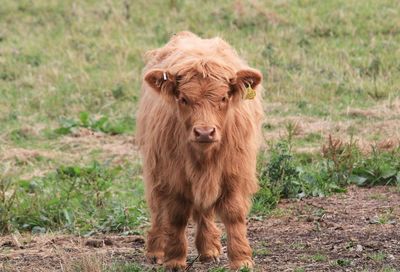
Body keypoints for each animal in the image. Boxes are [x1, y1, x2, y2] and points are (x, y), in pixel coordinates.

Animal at [136, 31, 264, 270]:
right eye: (183, 99)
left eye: (223, 98)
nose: (204, 132)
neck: (204, 158)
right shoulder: (172, 175)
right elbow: (176, 216)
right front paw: (175, 259)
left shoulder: (235, 171)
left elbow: (234, 213)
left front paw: (241, 259)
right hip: (154, 167)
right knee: (157, 208)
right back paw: (156, 251)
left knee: (203, 210)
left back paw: (209, 249)